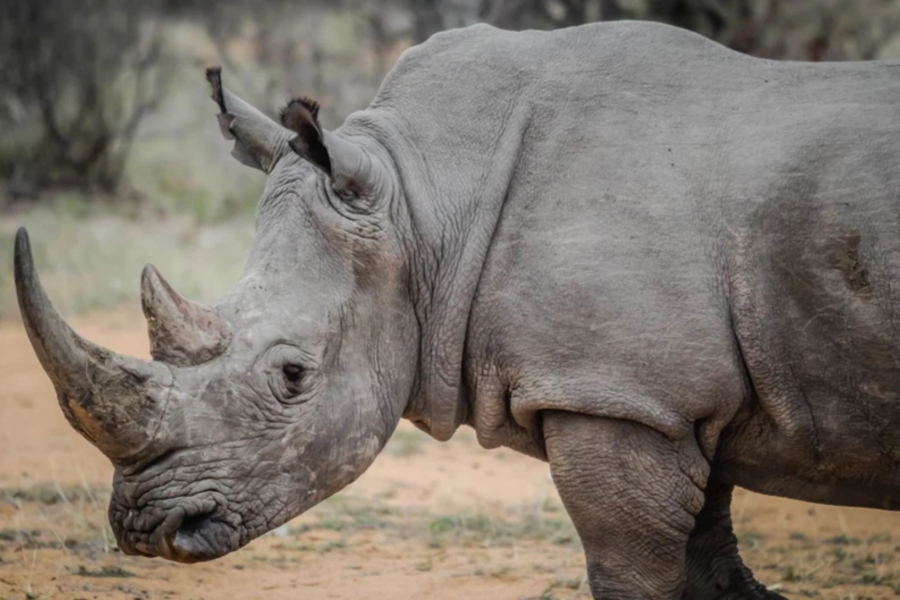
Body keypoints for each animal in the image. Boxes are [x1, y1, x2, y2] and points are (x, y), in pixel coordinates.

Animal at [13, 20, 900, 599]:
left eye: (293, 376)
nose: (147, 530)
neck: (423, 196)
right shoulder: (666, 399)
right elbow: (710, 566)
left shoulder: (615, 396)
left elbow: (635, 572)